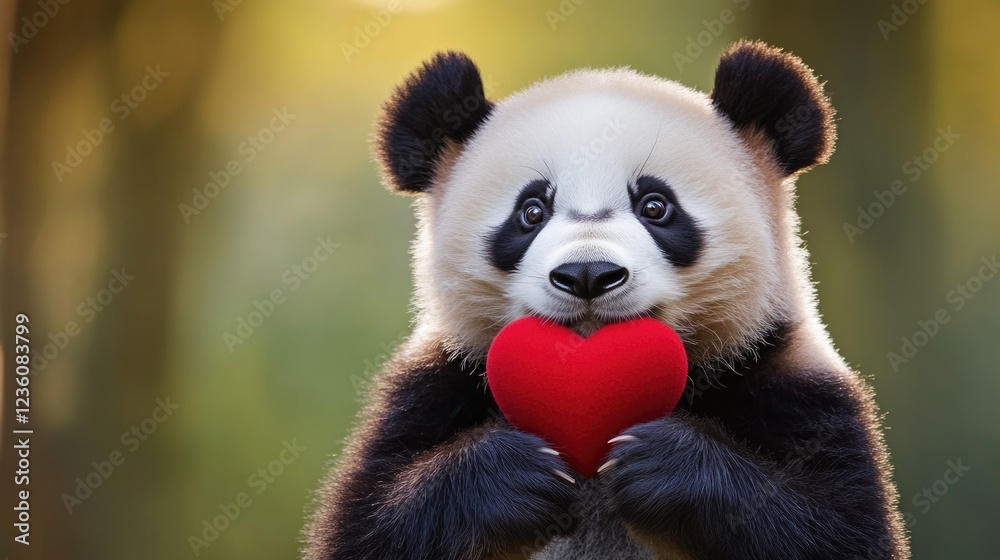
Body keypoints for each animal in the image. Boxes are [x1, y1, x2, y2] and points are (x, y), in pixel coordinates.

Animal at [305, 41, 909, 560]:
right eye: (531, 211)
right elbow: (369, 525)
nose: (588, 274)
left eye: (655, 206)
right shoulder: (434, 389)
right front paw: (513, 475)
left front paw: (662, 464)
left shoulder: (793, 387)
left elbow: (838, 528)